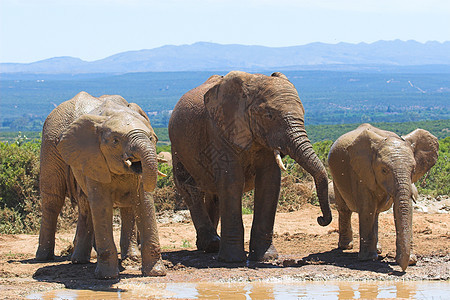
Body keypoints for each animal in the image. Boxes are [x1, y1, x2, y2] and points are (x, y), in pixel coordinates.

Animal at [35, 92, 165, 278]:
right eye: (115, 140)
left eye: (152, 138)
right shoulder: (93, 156)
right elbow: (102, 204)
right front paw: (107, 276)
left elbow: (142, 201)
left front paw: (155, 273)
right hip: (49, 146)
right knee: (53, 200)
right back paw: (45, 258)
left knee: (88, 205)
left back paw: (85, 259)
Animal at [169, 71, 330, 262]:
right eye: (269, 116)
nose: (320, 219)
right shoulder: (221, 130)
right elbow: (232, 181)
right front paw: (232, 260)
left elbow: (269, 182)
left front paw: (266, 257)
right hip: (177, 146)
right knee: (189, 188)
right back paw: (211, 244)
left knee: (213, 193)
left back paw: (211, 246)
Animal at [326, 123, 440, 270]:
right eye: (384, 170)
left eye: (413, 170)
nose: (402, 266)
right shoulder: (361, 170)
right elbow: (367, 207)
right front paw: (368, 259)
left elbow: (403, 208)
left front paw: (410, 260)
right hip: (336, 176)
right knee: (345, 209)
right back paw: (347, 247)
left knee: (376, 213)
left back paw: (378, 250)